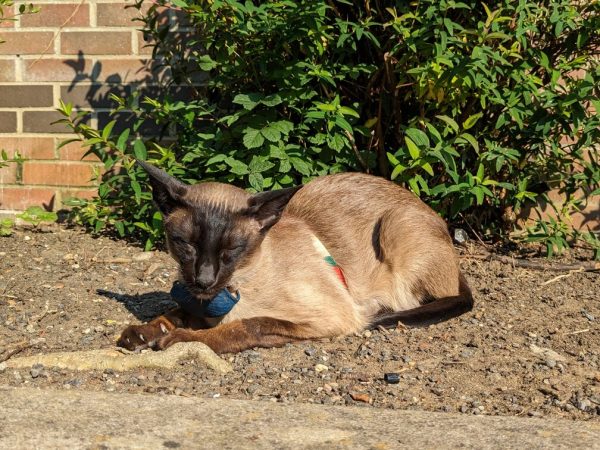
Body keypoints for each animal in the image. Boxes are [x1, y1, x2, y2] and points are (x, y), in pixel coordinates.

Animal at [117, 162, 474, 356]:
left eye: (231, 250)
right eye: (186, 245)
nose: (204, 280)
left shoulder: (331, 317)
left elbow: (248, 325)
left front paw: (179, 339)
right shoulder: (194, 300)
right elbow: (172, 313)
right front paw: (143, 334)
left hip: (393, 226)